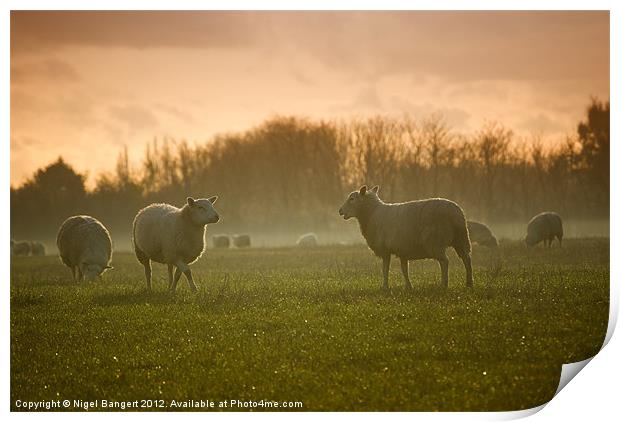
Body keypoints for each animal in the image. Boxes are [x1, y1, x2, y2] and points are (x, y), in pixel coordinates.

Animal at [336, 185, 472, 290]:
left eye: (352, 199)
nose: (340, 210)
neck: (372, 214)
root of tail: (455, 213)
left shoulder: (385, 250)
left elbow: (385, 270)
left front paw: (385, 287)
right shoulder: (403, 250)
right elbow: (404, 270)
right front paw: (408, 287)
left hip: (436, 242)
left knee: (445, 262)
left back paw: (444, 285)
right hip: (461, 240)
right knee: (467, 259)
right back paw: (469, 283)